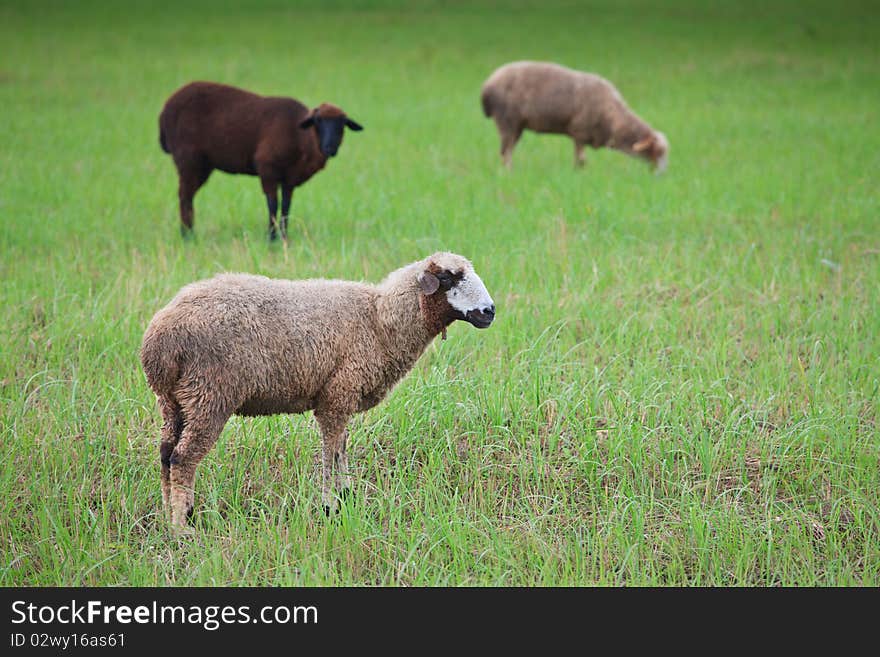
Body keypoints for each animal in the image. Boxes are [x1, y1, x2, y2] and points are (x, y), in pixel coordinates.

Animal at [138, 251, 496, 528]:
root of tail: (160, 338)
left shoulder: (342, 397)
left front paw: (347, 496)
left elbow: (341, 450)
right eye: (448, 278)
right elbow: (330, 452)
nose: (490, 311)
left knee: (166, 453)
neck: (379, 321)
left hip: (173, 400)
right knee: (183, 458)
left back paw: (171, 515)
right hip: (209, 393)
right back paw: (182, 528)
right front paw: (330, 506)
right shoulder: (336, 396)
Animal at [160, 81, 362, 241]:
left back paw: (188, 232)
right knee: (184, 196)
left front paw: (284, 237)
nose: (330, 148)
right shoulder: (267, 167)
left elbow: (286, 206)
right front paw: (271, 238)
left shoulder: (290, 177)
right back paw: (187, 236)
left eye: (342, 123)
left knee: (188, 196)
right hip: (188, 159)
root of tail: (165, 111)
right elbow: (273, 204)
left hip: (201, 165)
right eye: (318, 120)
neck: (300, 137)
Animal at [482, 60, 668, 172]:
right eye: (657, 152)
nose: (662, 177)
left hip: (516, 125)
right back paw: (508, 172)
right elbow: (581, 160)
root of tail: (488, 85)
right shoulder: (580, 132)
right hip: (507, 120)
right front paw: (579, 174)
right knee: (506, 152)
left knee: (506, 151)